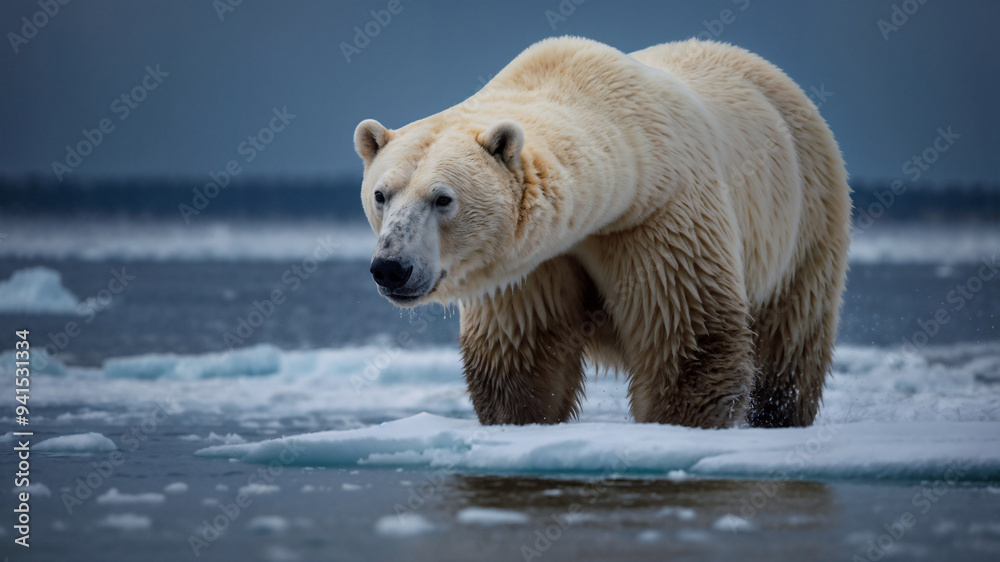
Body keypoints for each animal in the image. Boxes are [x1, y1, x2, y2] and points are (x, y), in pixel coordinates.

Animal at [354, 37, 851, 429]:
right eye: (381, 194)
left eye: (442, 199)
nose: (391, 267)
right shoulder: (532, 263)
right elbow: (522, 355)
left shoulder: (658, 218)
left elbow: (686, 337)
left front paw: (679, 424)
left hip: (807, 216)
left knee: (789, 343)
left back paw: (778, 415)